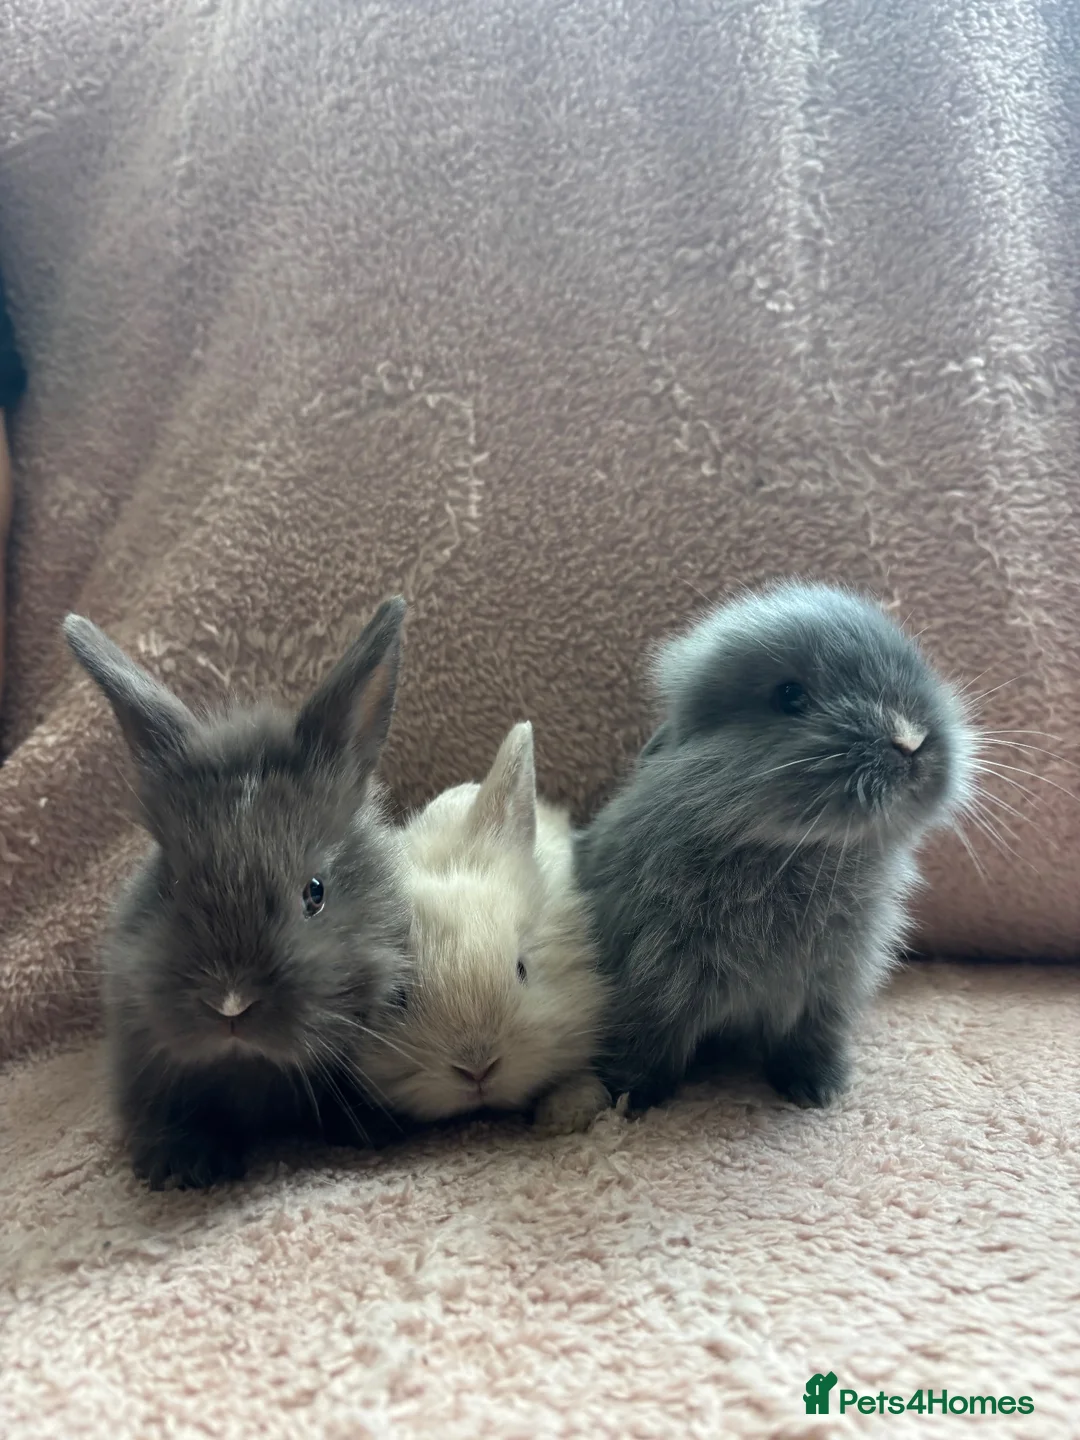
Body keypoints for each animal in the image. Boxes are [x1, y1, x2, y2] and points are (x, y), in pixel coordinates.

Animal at [573, 580, 976, 1111]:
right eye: (789, 697)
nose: (911, 739)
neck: (797, 853)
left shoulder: (827, 991)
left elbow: (809, 1040)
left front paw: (818, 1089)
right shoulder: (653, 983)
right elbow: (648, 1041)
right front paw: (629, 1100)